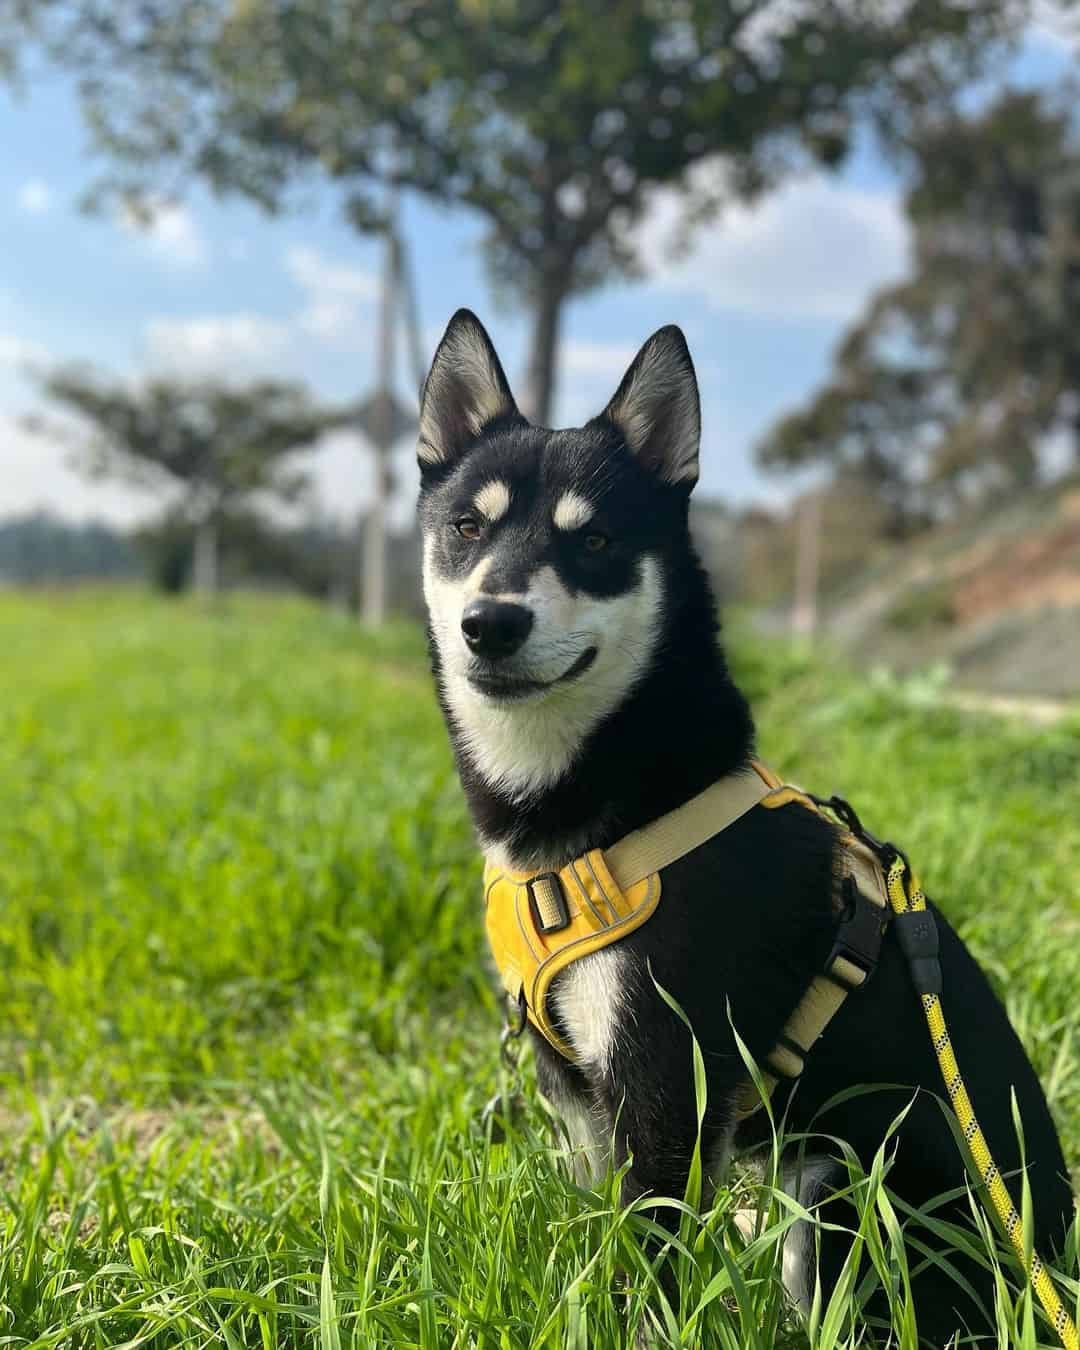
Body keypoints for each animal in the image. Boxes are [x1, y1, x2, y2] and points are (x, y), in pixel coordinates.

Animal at [415, 310, 1069, 1344]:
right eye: (466, 528)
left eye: (597, 540)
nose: (492, 621)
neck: (596, 814)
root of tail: (1054, 1256)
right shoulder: (580, 1097)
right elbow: (599, 1236)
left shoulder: (666, 1087)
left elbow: (645, 1273)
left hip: (850, 1184)